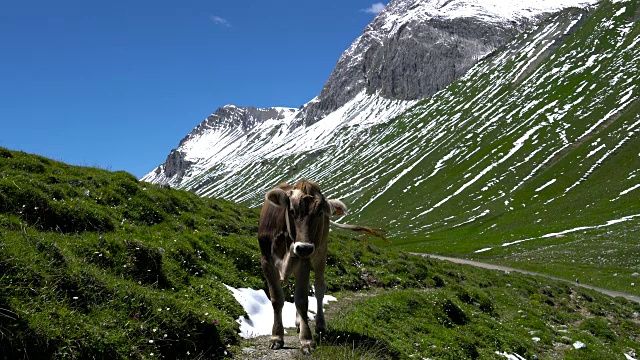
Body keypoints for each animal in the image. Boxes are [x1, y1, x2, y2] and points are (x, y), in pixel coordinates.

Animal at [258, 179, 382, 352]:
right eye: (292, 211)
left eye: (319, 213)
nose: (303, 247)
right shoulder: (266, 261)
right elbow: (276, 299)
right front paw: (276, 337)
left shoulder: (305, 260)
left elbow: (302, 300)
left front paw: (306, 340)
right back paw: (298, 322)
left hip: (321, 251)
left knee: (318, 288)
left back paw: (319, 325)